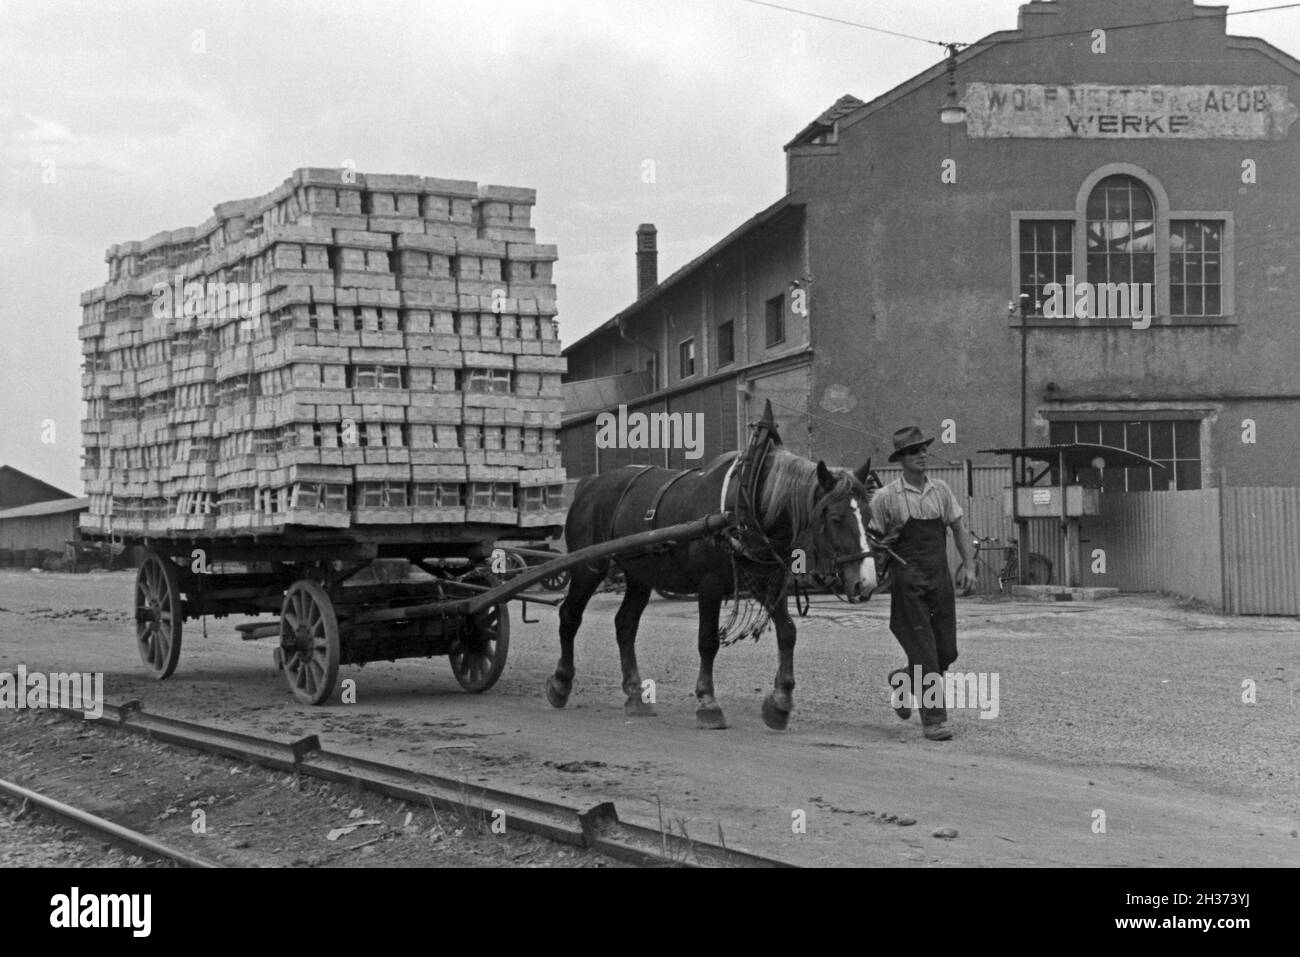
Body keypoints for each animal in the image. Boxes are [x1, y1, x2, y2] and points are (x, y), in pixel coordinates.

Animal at [543, 405, 878, 733]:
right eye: (835, 518)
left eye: (867, 515)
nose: (866, 583)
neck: (747, 501)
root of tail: (589, 484)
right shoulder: (710, 585)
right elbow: (708, 640)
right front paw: (708, 702)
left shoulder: (766, 581)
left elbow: (788, 632)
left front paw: (780, 702)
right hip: (588, 567)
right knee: (570, 615)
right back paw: (561, 683)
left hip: (640, 574)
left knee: (625, 623)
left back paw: (635, 694)